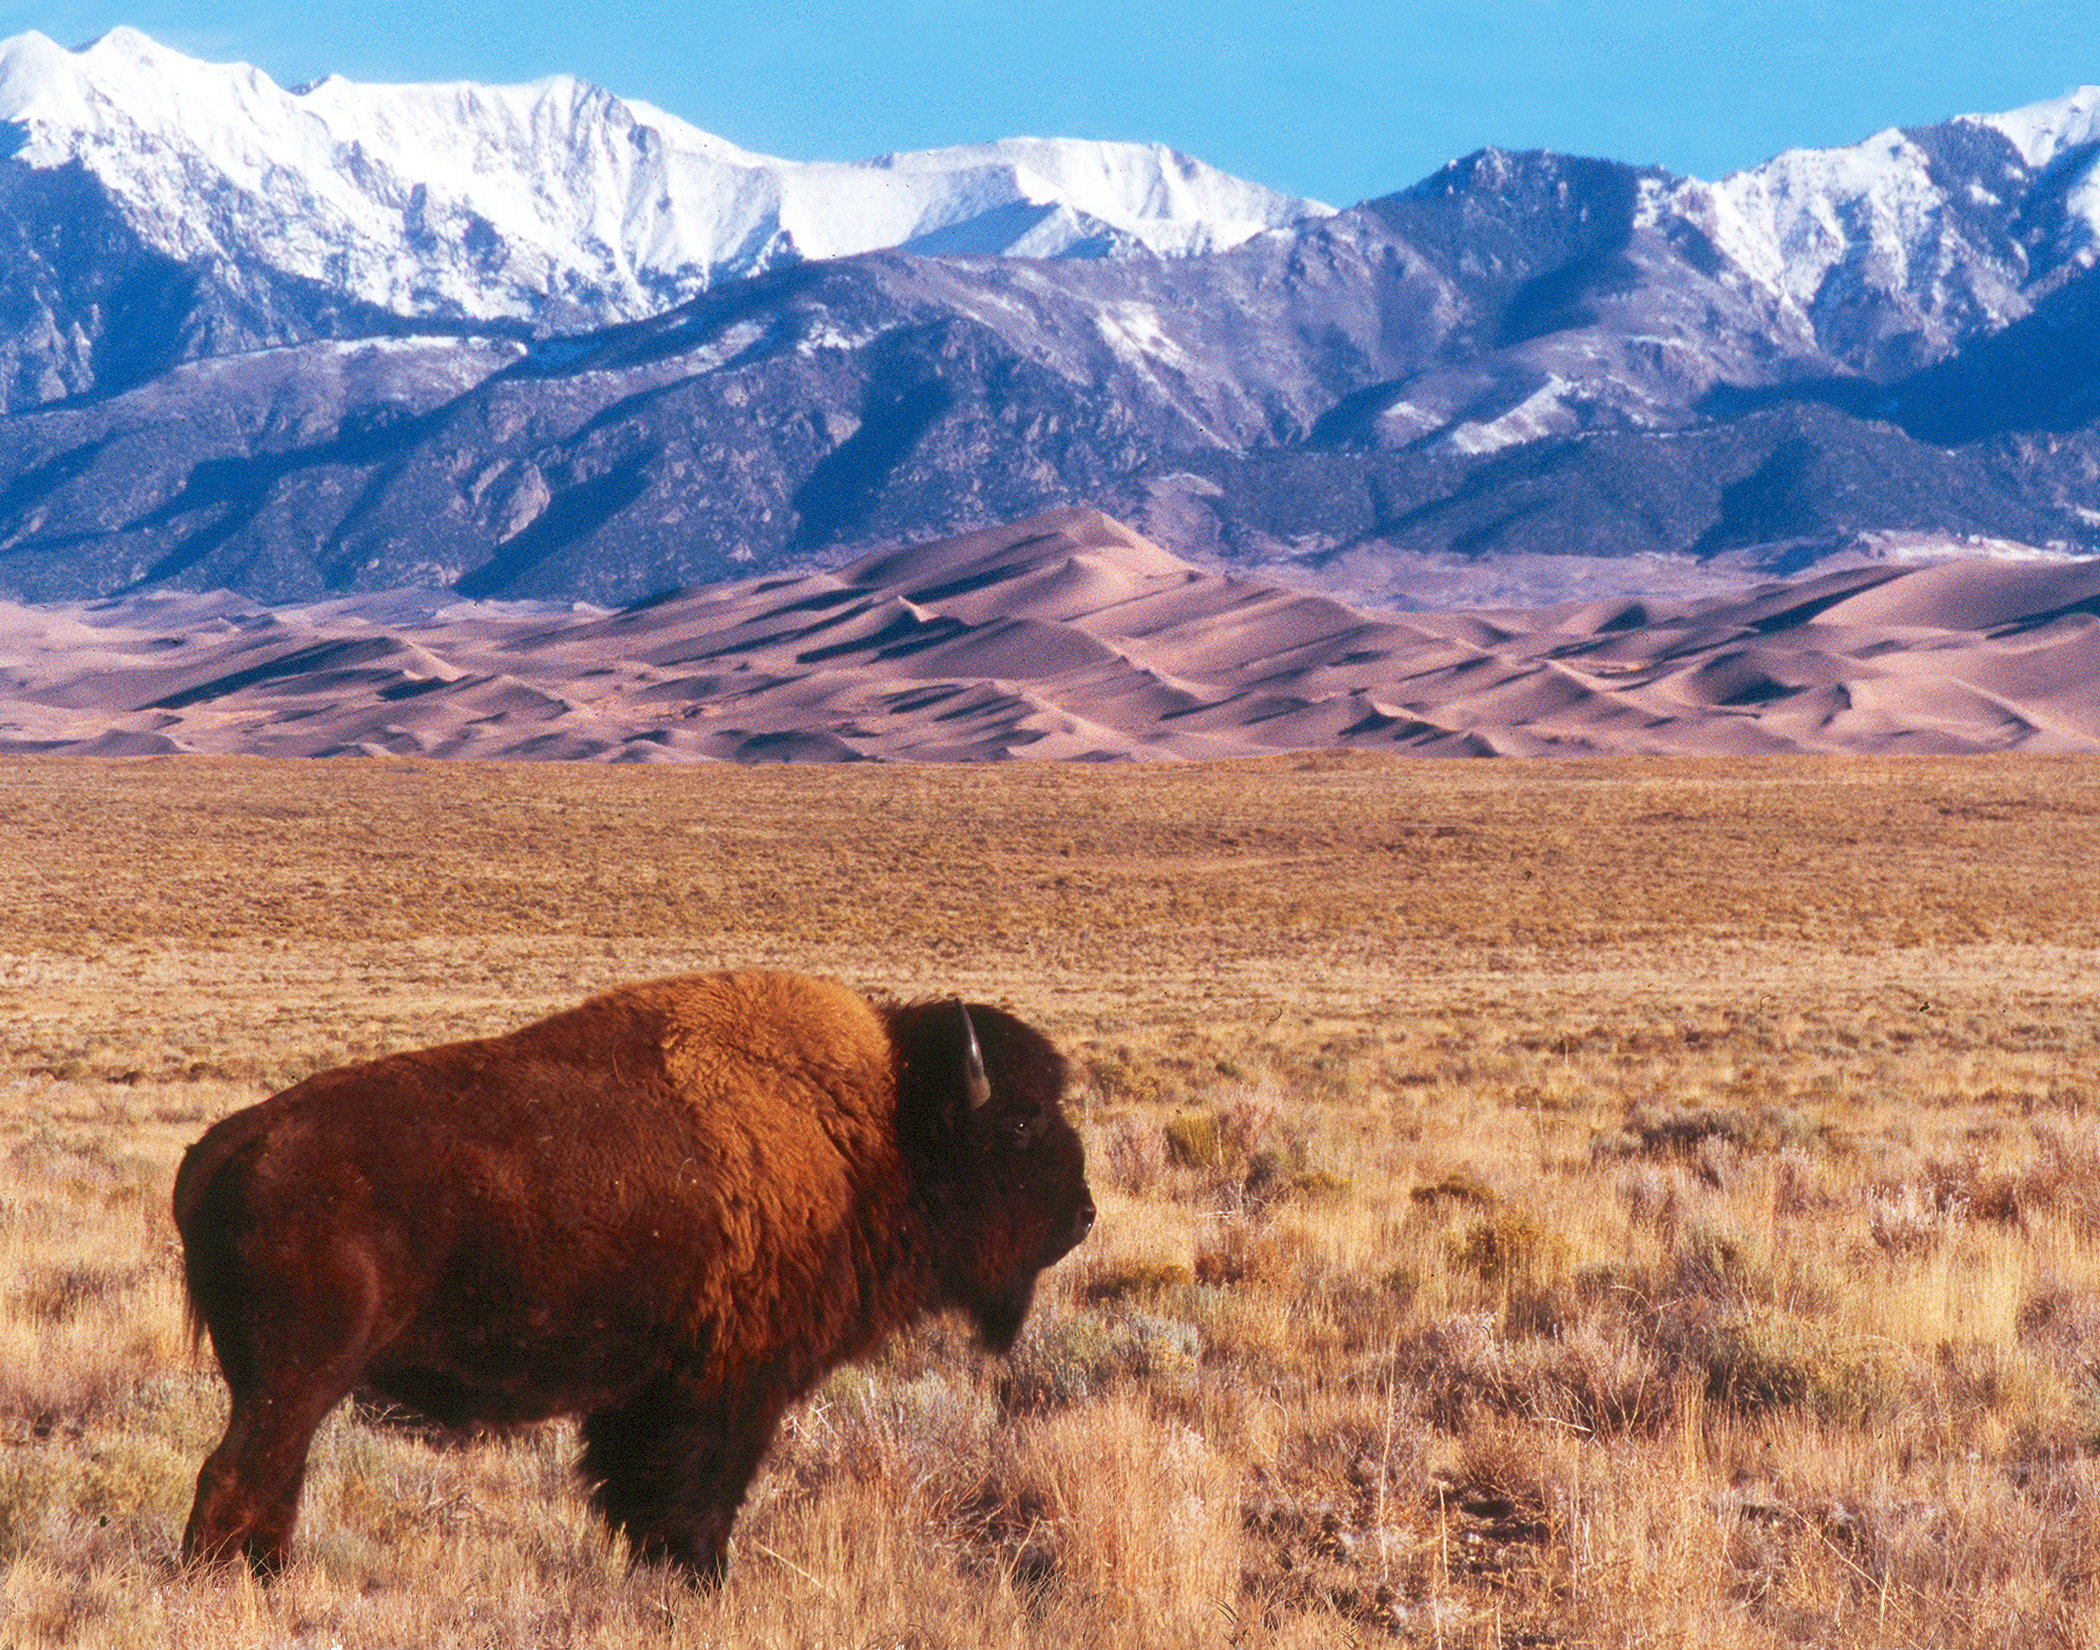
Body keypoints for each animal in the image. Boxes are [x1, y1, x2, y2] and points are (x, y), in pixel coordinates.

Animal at [170, 969, 1092, 1578]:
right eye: (1020, 1121)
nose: (1083, 1215)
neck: (878, 1130)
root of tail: (230, 1144)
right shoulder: (728, 1388)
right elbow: (695, 1496)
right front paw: (701, 1579)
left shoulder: (650, 1395)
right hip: (297, 1377)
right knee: (238, 1472)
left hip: (279, 1383)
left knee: (273, 1475)